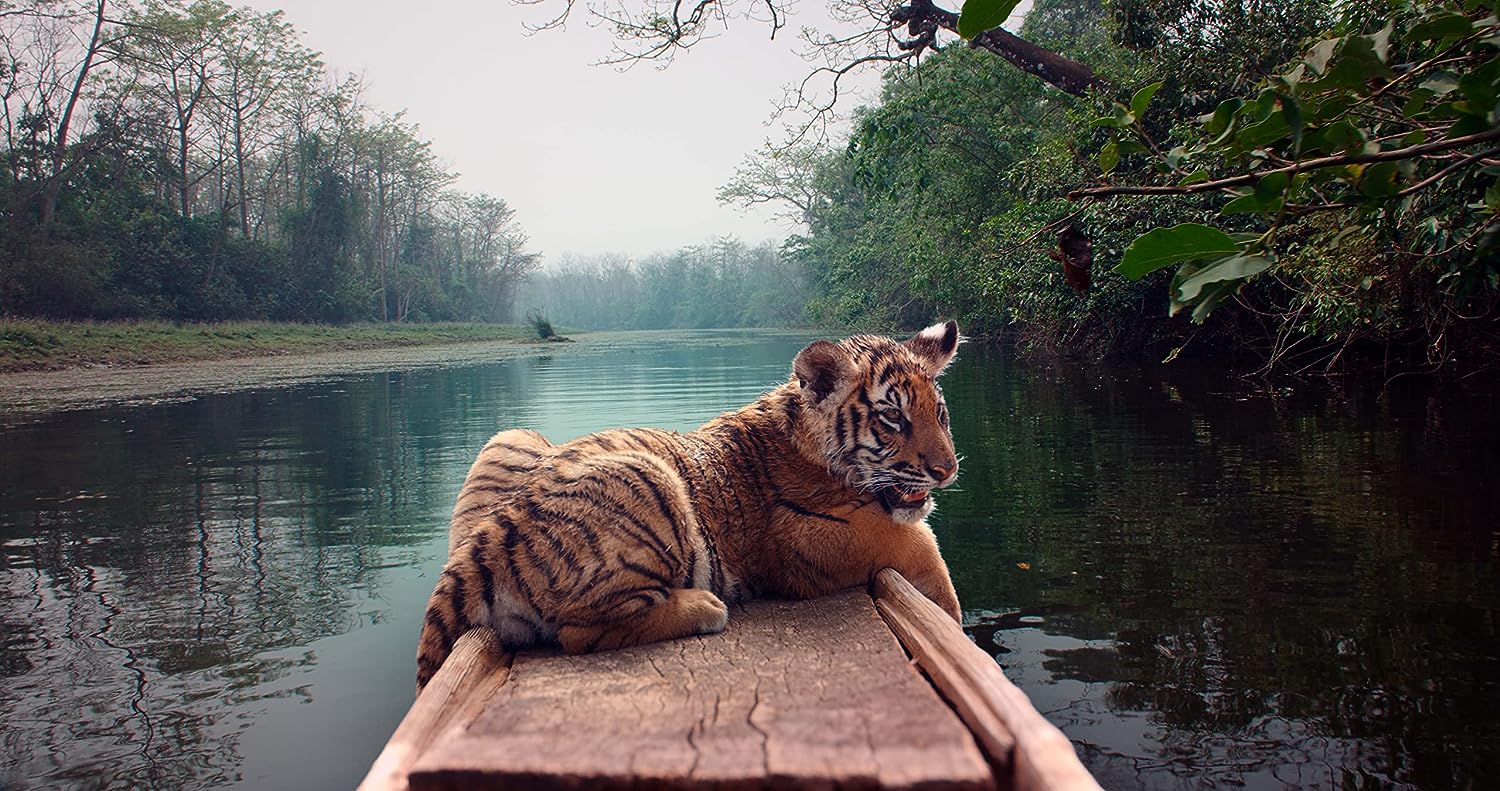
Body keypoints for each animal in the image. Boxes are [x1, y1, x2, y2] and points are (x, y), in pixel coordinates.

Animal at [415, 321, 964, 693]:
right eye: (893, 418)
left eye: (939, 413)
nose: (948, 470)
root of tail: (477, 548)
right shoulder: (817, 536)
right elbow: (923, 548)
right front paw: (952, 621)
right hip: (648, 477)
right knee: (577, 633)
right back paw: (704, 607)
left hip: (509, 436)